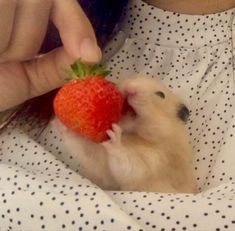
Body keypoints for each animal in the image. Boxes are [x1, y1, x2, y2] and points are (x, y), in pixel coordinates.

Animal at [53, 76, 198, 193]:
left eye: (161, 94)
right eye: (134, 76)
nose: (130, 88)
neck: (133, 134)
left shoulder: (150, 164)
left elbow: (127, 163)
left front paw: (113, 137)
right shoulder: (99, 162)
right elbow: (84, 148)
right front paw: (62, 123)